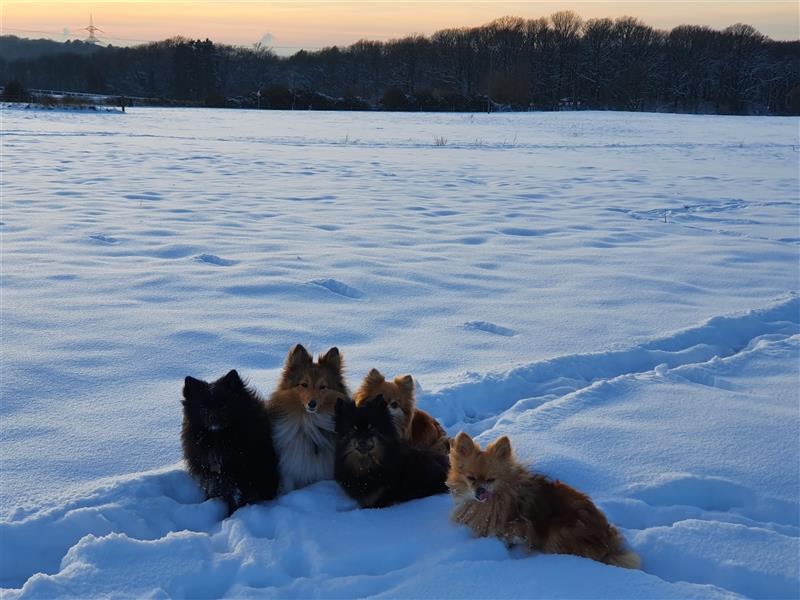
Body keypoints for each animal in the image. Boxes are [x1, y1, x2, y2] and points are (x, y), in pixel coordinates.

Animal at [182, 370, 280, 516]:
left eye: (223, 405)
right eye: (203, 407)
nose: (213, 417)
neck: (220, 438)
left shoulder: (240, 475)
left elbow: (235, 499)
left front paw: (231, 516)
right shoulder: (212, 474)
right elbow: (211, 492)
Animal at [446, 434, 640, 568]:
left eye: (491, 480)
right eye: (471, 478)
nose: (480, 491)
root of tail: (608, 545)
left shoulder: (519, 525)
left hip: (559, 529)